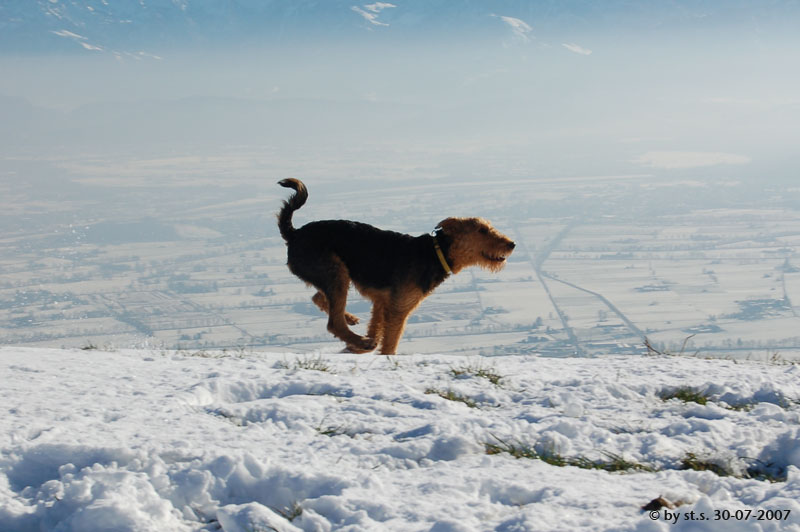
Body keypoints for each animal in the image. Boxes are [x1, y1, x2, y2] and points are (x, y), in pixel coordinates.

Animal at [278, 178, 516, 354]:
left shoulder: (382, 303)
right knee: (333, 322)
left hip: (335, 276)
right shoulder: (399, 309)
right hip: (335, 271)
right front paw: (375, 352)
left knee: (319, 299)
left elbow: (377, 329)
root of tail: (294, 234)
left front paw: (358, 349)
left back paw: (352, 324)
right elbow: (390, 343)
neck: (435, 253)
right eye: (482, 230)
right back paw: (362, 341)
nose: (511, 244)